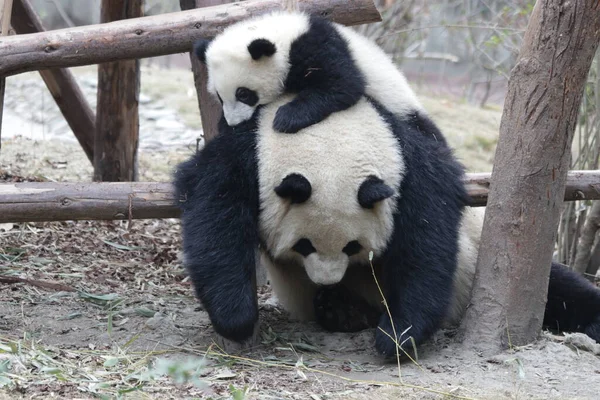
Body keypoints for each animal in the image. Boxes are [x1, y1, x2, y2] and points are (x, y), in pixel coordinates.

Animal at [172, 94, 600, 356]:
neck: (328, 133)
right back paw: (342, 310)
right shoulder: (249, 158)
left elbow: (427, 247)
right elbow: (214, 214)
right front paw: (237, 318)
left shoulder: (410, 170)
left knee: (565, 291)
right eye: (303, 245)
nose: (327, 278)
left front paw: (397, 337)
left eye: (352, 247)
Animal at [193, 10, 446, 144]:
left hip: (404, 107)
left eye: (244, 94)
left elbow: (343, 84)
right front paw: (224, 125)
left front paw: (286, 117)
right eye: (219, 96)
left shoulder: (317, 45)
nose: (235, 122)